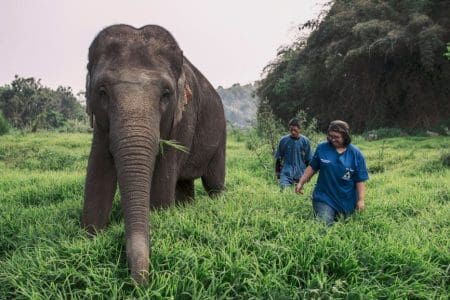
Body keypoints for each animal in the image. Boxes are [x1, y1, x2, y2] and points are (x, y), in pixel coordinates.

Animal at [81, 24, 225, 284]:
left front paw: (160, 217)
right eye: (102, 91)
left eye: (166, 93)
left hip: (221, 134)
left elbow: (162, 180)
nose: (141, 284)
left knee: (214, 183)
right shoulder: (101, 126)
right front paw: (90, 237)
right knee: (184, 185)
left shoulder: (183, 118)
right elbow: (98, 172)